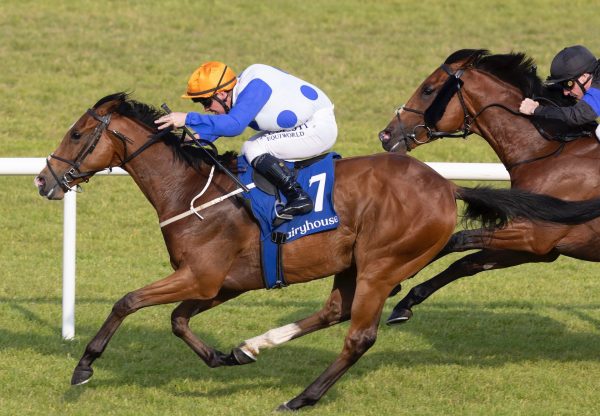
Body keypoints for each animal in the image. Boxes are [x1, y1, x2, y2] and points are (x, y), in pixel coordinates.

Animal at [35, 93, 600, 410]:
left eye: (78, 133)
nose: (43, 179)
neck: (193, 192)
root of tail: (446, 186)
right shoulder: (221, 282)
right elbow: (177, 320)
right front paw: (220, 357)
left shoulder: (202, 277)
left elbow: (128, 301)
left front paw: (84, 367)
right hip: (353, 264)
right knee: (335, 311)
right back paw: (254, 345)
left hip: (380, 264)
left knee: (359, 335)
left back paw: (302, 397)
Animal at [382, 48, 600, 326]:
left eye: (428, 90)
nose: (386, 135)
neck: (547, 152)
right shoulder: (538, 249)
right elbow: (467, 262)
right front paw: (403, 299)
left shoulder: (533, 234)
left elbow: (458, 240)